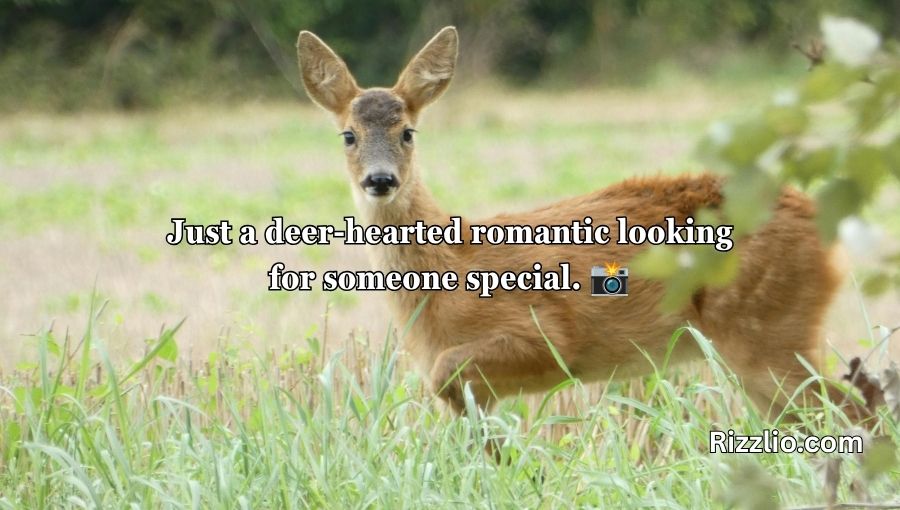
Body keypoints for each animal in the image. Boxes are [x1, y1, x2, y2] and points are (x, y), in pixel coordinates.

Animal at [295, 26, 861, 423]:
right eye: (348, 135)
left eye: (408, 132)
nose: (380, 179)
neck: (450, 270)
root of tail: (819, 219)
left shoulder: (545, 335)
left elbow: (445, 375)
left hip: (768, 329)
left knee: (851, 411)